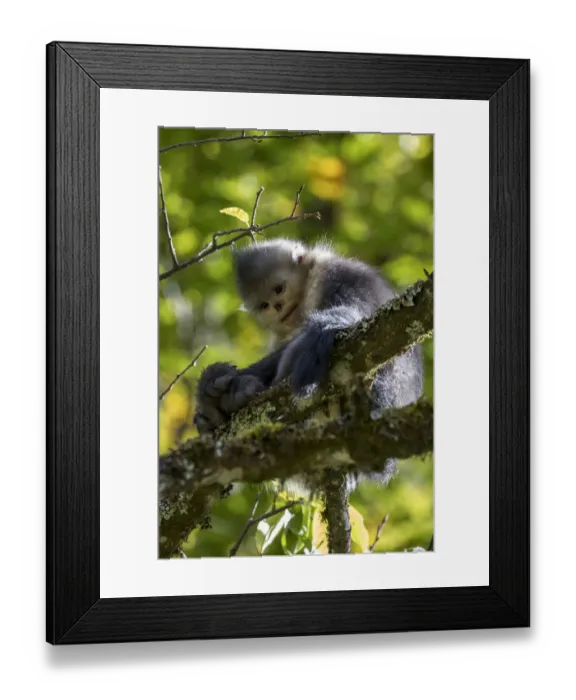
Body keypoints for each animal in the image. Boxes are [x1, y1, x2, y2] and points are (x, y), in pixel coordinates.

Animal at [193, 237, 423, 490]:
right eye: (264, 305)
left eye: (279, 289)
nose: (277, 305)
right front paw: (215, 389)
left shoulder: (339, 274)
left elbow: (358, 314)